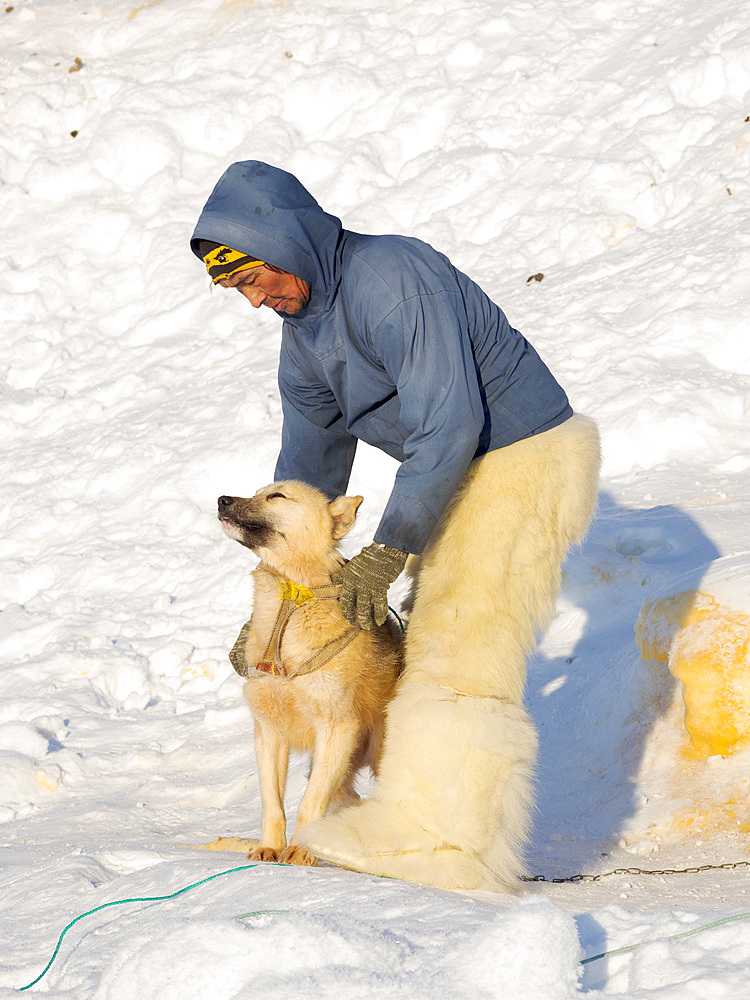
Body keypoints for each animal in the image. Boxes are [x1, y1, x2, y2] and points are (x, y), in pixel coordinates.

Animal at [219, 480, 406, 864]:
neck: (292, 601)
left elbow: (309, 803)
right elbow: (272, 803)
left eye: (276, 496)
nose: (221, 499)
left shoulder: (337, 731)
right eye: (257, 492)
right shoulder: (269, 732)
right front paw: (270, 847)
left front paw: (302, 850)